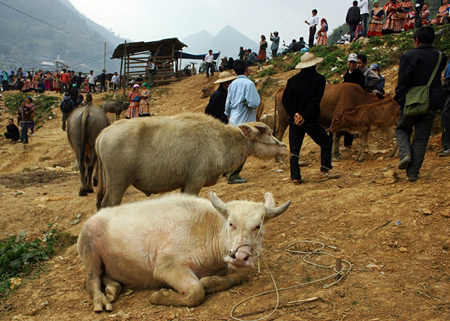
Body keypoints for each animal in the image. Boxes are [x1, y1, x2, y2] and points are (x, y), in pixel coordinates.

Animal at [78, 190, 290, 310]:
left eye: (258, 226)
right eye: (231, 223)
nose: (240, 257)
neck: (206, 229)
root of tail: (92, 219)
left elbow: (238, 276)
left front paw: (210, 281)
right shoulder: (166, 267)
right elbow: (196, 291)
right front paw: (161, 295)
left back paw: (113, 288)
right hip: (90, 252)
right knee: (91, 279)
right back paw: (101, 301)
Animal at [96, 112, 288, 208]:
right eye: (269, 133)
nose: (284, 146)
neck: (220, 139)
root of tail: (104, 133)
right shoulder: (195, 181)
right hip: (117, 183)